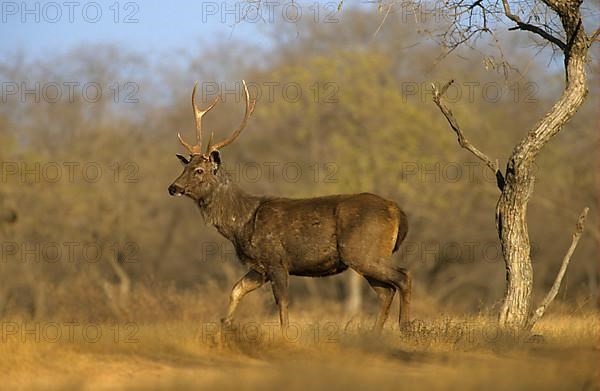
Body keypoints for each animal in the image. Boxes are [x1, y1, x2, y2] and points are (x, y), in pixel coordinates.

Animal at [169, 80, 412, 330]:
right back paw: (376, 333)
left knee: (403, 277)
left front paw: (284, 335)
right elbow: (236, 290)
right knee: (386, 291)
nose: (173, 188)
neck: (242, 223)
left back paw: (406, 327)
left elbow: (282, 305)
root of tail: (397, 211)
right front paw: (224, 325)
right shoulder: (260, 267)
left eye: (199, 170)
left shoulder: (276, 260)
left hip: (362, 251)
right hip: (366, 256)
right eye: (185, 167)